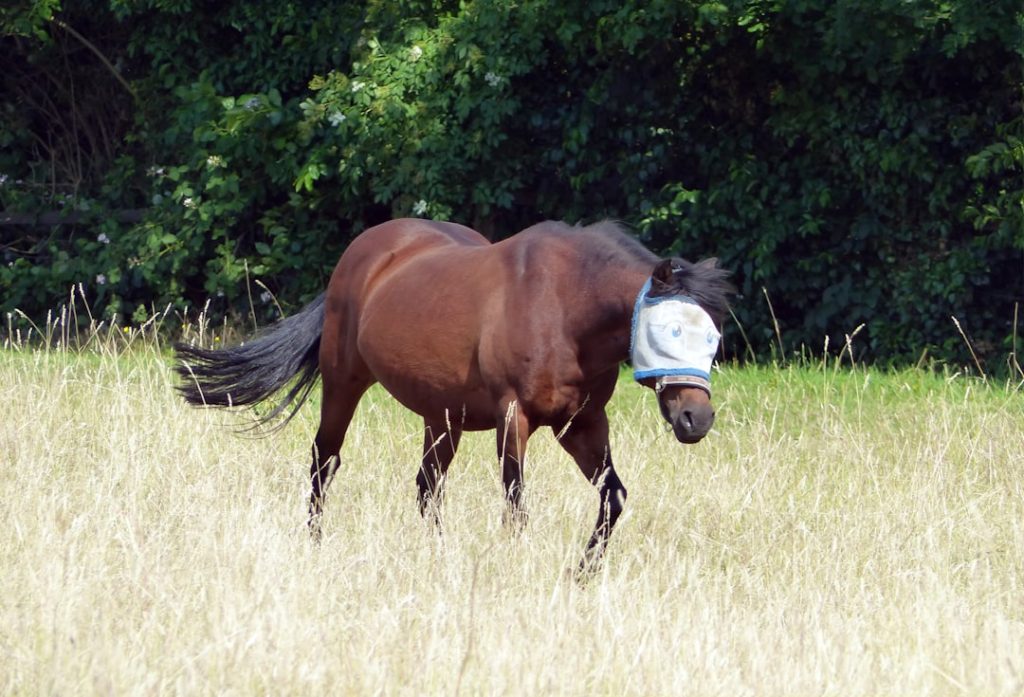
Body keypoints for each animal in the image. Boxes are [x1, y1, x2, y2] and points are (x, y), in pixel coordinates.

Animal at [174, 219, 733, 571]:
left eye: (713, 337)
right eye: (671, 331)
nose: (696, 419)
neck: (564, 306)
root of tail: (367, 251)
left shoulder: (582, 423)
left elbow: (612, 498)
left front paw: (583, 572)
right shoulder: (515, 418)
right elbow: (516, 502)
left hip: (442, 416)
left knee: (427, 487)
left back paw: (436, 557)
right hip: (343, 384)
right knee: (324, 462)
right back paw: (315, 543)